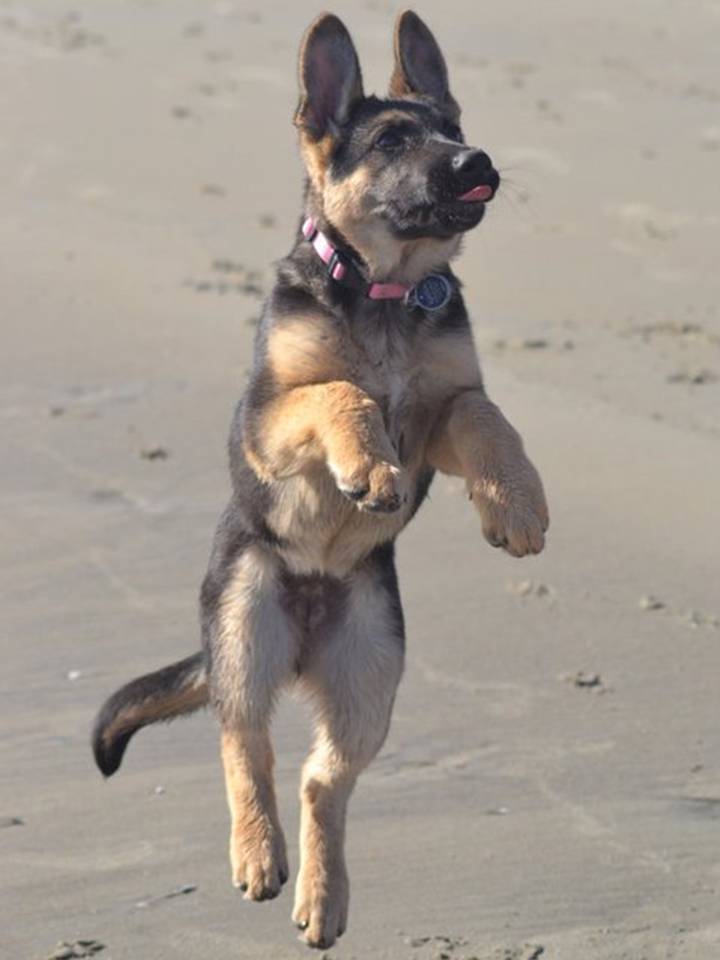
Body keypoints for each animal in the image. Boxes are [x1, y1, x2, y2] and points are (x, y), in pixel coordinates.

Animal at [93, 9, 548, 952]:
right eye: (393, 141)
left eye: (455, 125)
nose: (477, 161)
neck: (385, 290)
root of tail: (303, 630)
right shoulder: (270, 419)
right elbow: (340, 391)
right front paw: (365, 465)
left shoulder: (444, 413)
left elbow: (490, 419)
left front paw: (517, 505)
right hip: (243, 624)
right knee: (245, 743)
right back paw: (259, 855)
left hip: (369, 669)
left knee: (320, 778)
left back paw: (322, 898)